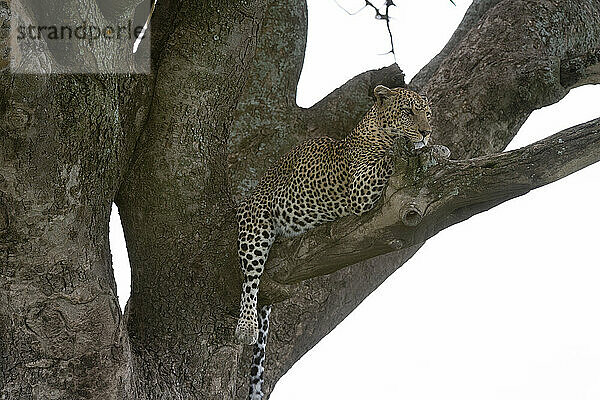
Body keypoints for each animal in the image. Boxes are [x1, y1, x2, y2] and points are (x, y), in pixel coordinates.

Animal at [234, 85, 432, 400]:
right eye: (407, 111)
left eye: (427, 112)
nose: (426, 132)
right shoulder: (361, 187)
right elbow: (388, 158)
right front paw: (416, 146)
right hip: (256, 222)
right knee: (251, 278)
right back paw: (246, 326)